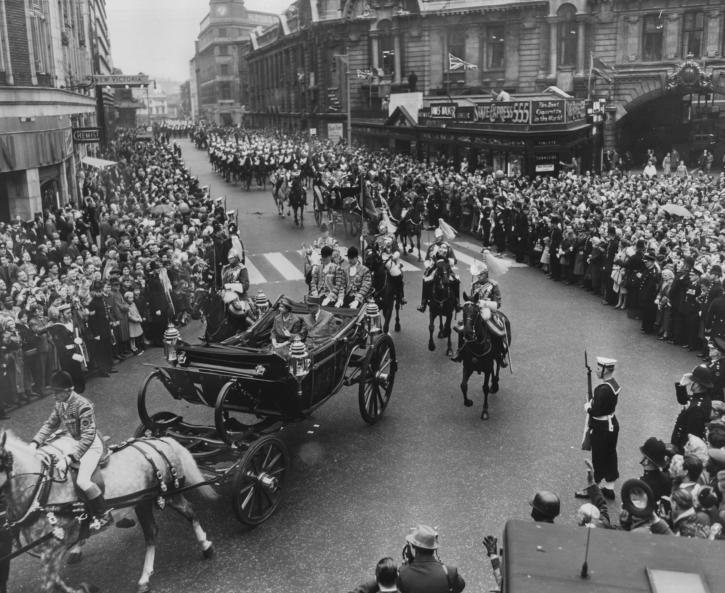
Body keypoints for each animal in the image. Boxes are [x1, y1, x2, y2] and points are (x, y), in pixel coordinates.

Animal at [0, 430, 216, 592]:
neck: (41, 491)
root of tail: (162, 440)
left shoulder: (51, 551)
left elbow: (51, 585)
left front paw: (83, 588)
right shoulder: (50, 553)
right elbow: (54, 582)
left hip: (170, 494)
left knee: (190, 512)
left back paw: (206, 546)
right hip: (142, 503)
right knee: (151, 533)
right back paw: (145, 577)